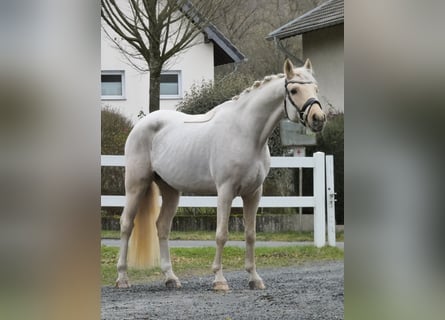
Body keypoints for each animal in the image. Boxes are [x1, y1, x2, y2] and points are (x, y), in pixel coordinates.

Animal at [116, 57, 324, 290]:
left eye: (315, 88)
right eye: (295, 90)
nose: (318, 118)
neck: (246, 133)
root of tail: (141, 124)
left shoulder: (254, 194)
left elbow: (250, 235)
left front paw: (254, 278)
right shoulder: (225, 191)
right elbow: (221, 234)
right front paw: (219, 280)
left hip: (170, 190)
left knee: (162, 227)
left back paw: (171, 277)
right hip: (136, 184)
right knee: (126, 224)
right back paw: (122, 277)